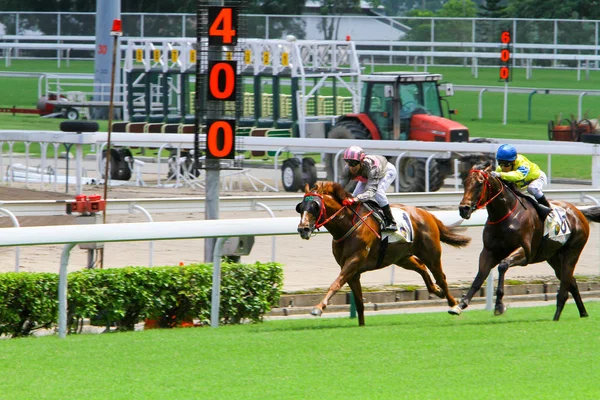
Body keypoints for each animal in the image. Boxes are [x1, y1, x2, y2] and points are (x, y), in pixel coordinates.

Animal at [298, 181, 472, 324]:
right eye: (300, 207)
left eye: (315, 206)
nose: (302, 229)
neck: (347, 225)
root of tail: (427, 214)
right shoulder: (352, 271)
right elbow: (359, 302)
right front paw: (361, 326)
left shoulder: (354, 262)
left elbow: (335, 284)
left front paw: (318, 308)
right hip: (402, 257)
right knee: (421, 267)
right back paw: (436, 291)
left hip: (432, 254)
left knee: (441, 277)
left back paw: (454, 306)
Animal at [454, 161, 600, 320]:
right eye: (465, 182)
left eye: (480, 183)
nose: (464, 209)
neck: (506, 214)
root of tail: (579, 212)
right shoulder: (488, 251)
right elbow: (480, 277)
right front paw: (460, 305)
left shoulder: (525, 252)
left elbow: (502, 265)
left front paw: (499, 305)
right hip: (553, 256)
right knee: (571, 281)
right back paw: (583, 313)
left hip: (572, 251)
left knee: (565, 285)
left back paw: (556, 317)